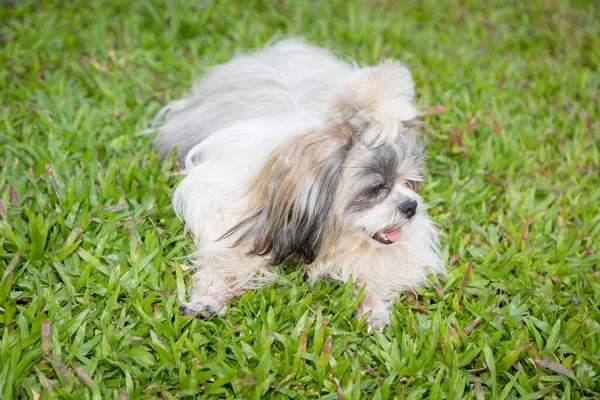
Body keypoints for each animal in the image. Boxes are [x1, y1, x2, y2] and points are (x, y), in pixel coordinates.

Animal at [148, 39, 442, 330]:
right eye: (376, 189)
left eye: (408, 182)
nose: (411, 206)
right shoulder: (233, 219)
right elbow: (224, 262)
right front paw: (206, 299)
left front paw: (372, 308)